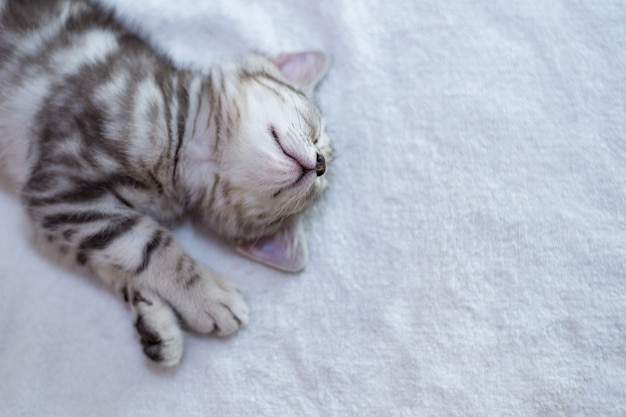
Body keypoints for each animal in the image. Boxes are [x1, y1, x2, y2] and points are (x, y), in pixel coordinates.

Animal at [0, 0, 332, 364]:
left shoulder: (63, 215)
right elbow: (148, 243)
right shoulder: (59, 185)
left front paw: (154, 318)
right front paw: (207, 294)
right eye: (316, 131)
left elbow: (107, 256)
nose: (321, 164)